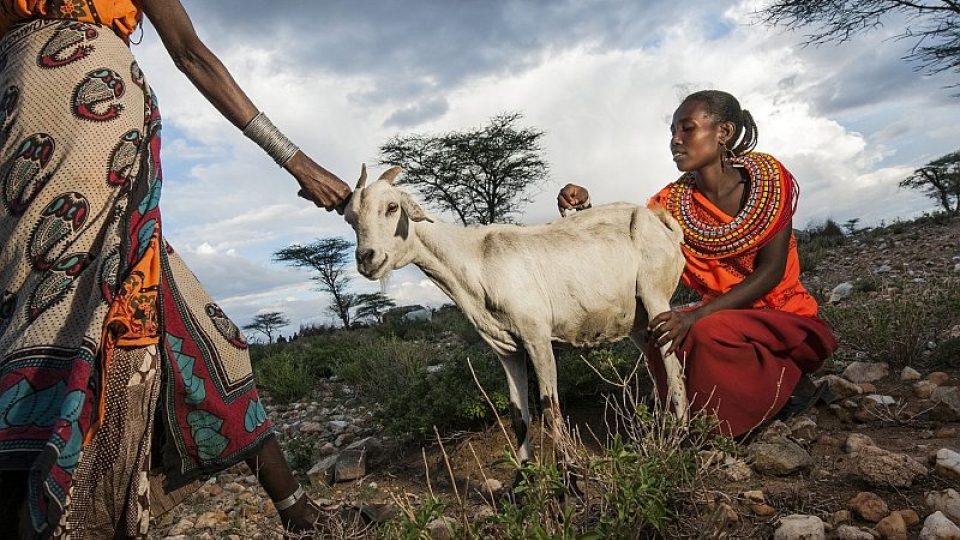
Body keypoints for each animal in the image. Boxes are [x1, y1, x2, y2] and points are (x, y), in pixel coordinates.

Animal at [344, 167, 688, 466]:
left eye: (392, 207)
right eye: (350, 218)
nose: (367, 259)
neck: (477, 261)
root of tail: (659, 221)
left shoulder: (537, 337)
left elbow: (550, 409)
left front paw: (569, 475)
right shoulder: (507, 349)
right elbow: (518, 417)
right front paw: (525, 479)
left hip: (655, 295)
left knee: (672, 365)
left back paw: (682, 434)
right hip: (638, 321)